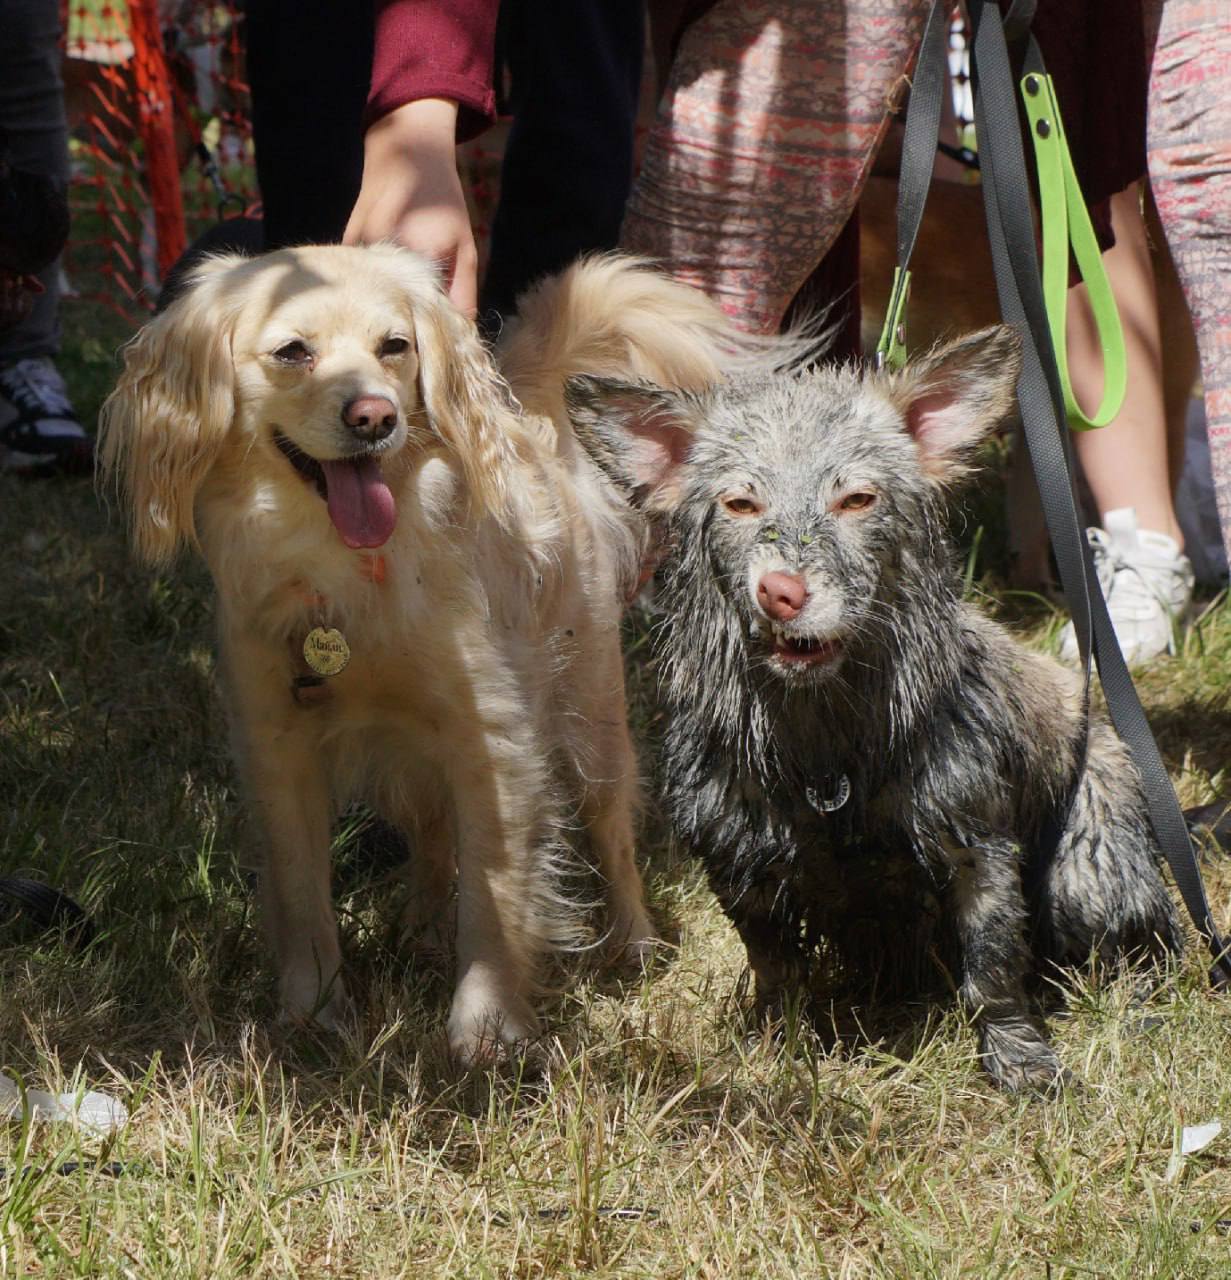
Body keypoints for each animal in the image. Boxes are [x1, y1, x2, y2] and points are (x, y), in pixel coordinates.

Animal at [95, 241, 742, 1059]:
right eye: (293, 352)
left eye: (394, 347)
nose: (375, 416)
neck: (346, 572)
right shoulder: (278, 746)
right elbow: (304, 892)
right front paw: (314, 1012)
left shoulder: (492, 741)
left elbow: (493, 893)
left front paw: (486, 1027)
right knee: (433, 836)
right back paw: (425, 928)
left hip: (593, 721)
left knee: (610, 831)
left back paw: (632, 943)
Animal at [565, 325, 1182, 1085]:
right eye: (741, 505)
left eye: (856, 500)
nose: (781, 591)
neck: (826, 751)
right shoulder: (741, 865)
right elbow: (776, 972)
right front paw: (776, 1049)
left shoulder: (973, 846)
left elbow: (992, 971)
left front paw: (1019, 1062)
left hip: (1089, 873)